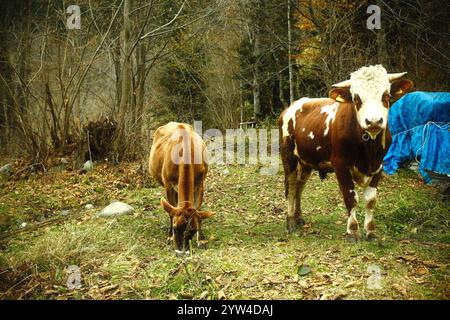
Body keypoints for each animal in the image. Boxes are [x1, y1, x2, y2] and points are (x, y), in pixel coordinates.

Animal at [149, 121, 214, 254]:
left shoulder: (200, 184)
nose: (181, 251)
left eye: (193, 231)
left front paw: (201, 240)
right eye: (175, 228)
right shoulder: (168, 185)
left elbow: (198, 209)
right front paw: (170, 237)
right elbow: (171, 212)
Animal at [280, 64, 414, 240]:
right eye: (356, 98)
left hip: (306, 161)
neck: (368, 149)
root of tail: (293, 105)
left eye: (386, 95)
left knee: (299, 186)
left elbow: (371, 200)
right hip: (288, 156)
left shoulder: (378, 166)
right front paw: (353, 231)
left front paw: (370, 231)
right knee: (290, 186)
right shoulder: (341, 165)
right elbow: (351, 197)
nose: (373, 121)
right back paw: (290, 223)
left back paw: (299, 217)